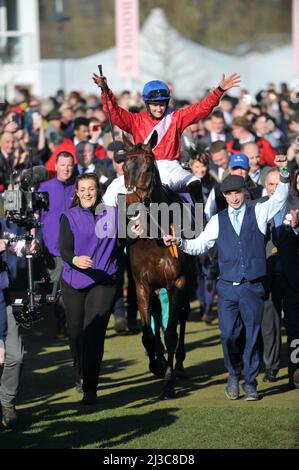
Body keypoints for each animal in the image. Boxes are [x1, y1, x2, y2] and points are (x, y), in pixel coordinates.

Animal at [122, 133, 191, 400]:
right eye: (124, 167)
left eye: (149, 167)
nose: (132, 204)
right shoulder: (142, 284)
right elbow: (148, 333)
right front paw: (156, 364)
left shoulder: (177, 282)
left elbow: (171, 332)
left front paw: (169, 382)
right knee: (157, 315)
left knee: (182, 315)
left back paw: (179, 362)